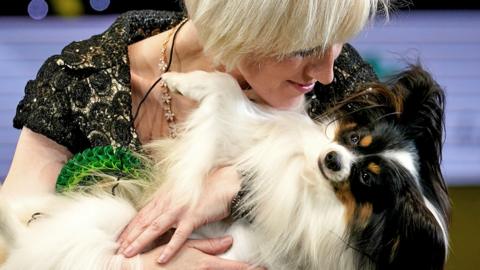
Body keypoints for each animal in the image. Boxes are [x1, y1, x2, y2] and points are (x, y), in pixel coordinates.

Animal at [0, 66, 450, 270]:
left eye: (365, 179)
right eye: (356, 140)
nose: (332, 159)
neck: (304, 169)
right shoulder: (251, 134)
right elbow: (226, 84)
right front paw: (179, 80)